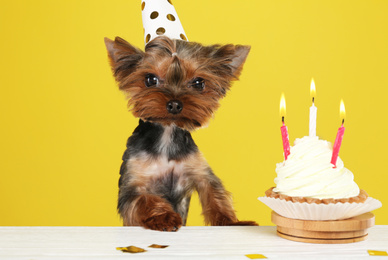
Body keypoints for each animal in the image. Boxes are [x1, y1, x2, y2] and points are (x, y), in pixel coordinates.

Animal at [104, 35, 256, 232]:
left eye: (199, 83)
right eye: (150, 79)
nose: (175, 104)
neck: (168, 135)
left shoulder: (200, 172)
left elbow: (216, 196)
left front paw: (232, 223)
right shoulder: (132, 186)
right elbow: (146, 199)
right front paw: (165, 217)